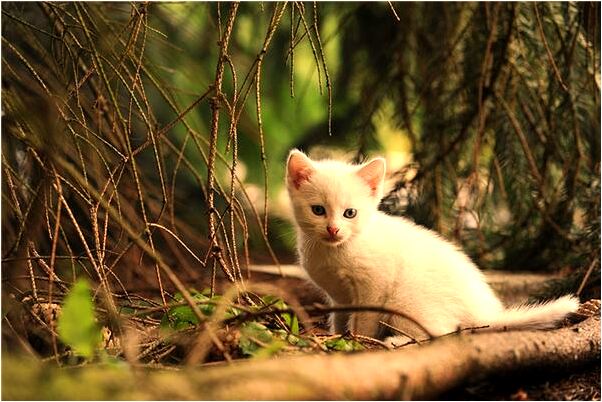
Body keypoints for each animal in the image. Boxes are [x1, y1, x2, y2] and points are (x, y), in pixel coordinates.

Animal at [284, 149, 576, 344]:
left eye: (350, 213)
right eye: (318, 210)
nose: (333, 229)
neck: (335, 252)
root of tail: (483, 313)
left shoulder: (373, 288)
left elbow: (364, 321)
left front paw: (358, 340)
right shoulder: (339, 296)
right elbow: (339, 317)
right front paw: (335, 336)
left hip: (404, 301)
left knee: (440, 332)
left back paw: (395, 342)